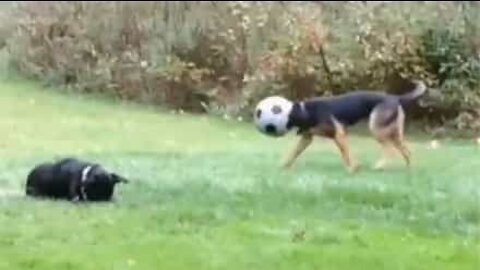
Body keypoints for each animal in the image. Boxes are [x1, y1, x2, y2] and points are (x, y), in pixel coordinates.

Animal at [284, 80, 426, 173]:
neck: (307, 111)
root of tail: (395, 97)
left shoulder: (339, 135)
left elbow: (346, 154)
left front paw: (352, 168)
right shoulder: (307, 138)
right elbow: (293, 152)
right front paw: (284, 166)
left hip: (376, 128)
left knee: (389, 148)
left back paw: (379, 166)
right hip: (396, 133)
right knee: (406, 151)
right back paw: (409, 171)